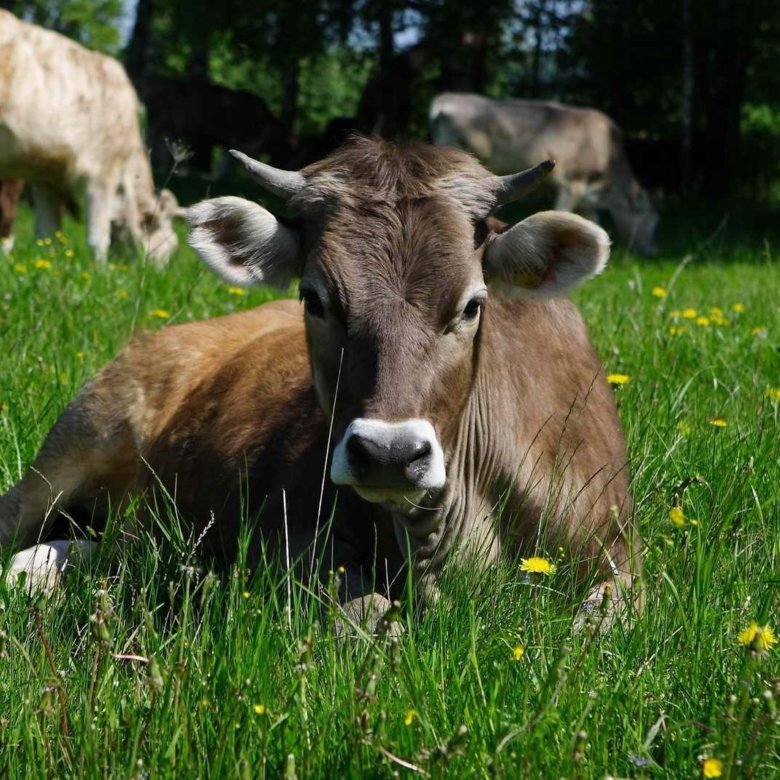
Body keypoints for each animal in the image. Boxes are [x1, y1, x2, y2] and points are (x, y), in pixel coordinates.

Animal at [0, 9, 178, 266]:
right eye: (170, 245)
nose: (159, 272)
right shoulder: (102, 173)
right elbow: (98, 238)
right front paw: (101, 271)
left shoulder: (46, 178)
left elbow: (46, 236)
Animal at [0, 137, 644, 632]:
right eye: (314, 298)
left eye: (472, 305)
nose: (389, 454)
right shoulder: (289, 536)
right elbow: (367, 614)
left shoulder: (621, 553)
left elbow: (602, 623)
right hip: (73, 446)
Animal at [432, 93, 660, 254]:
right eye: (651, 221)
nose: (652, 251)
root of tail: (445, 100)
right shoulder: (572, 185)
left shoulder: (589, 200)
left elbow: (594, 224)